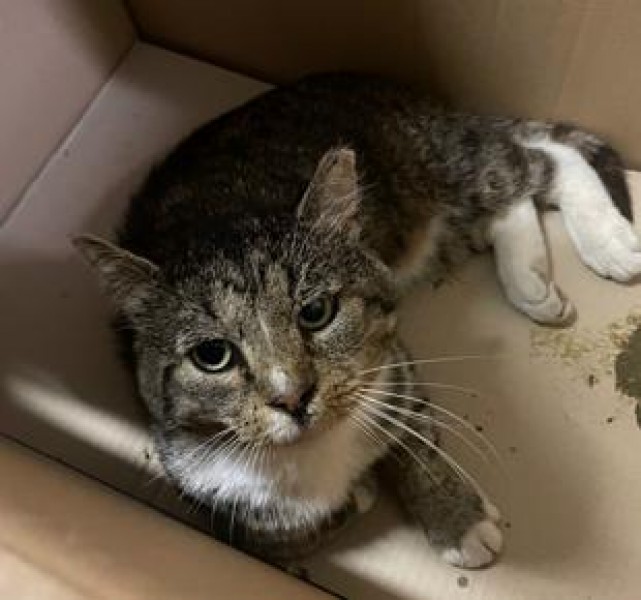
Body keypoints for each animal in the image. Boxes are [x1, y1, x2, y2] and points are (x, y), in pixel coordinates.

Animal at [74, 73, 641, 568]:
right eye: (212, 356)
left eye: (316, 312)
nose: (292, 396)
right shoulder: (212, 497)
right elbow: (289, 532)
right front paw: (359, 496)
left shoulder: (394, 365)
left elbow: (416, 441)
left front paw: (459, 520)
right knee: (511, 197)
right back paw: (530, 280)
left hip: (440, 166)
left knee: (538, 158)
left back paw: (608, 242)